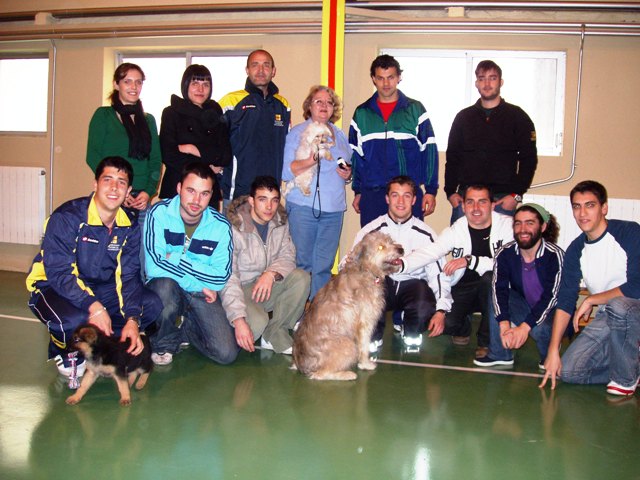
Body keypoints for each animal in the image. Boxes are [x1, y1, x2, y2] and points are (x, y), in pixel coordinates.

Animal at [292, 231, 402, 380]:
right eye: (380, 247)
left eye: (391, 241)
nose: (401, 249)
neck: (365, 270)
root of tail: (301, 365)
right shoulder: (365, 323)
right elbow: (364, 346)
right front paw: (365, 364)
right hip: (347, 344)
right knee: (320, 374)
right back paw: (347, 374)